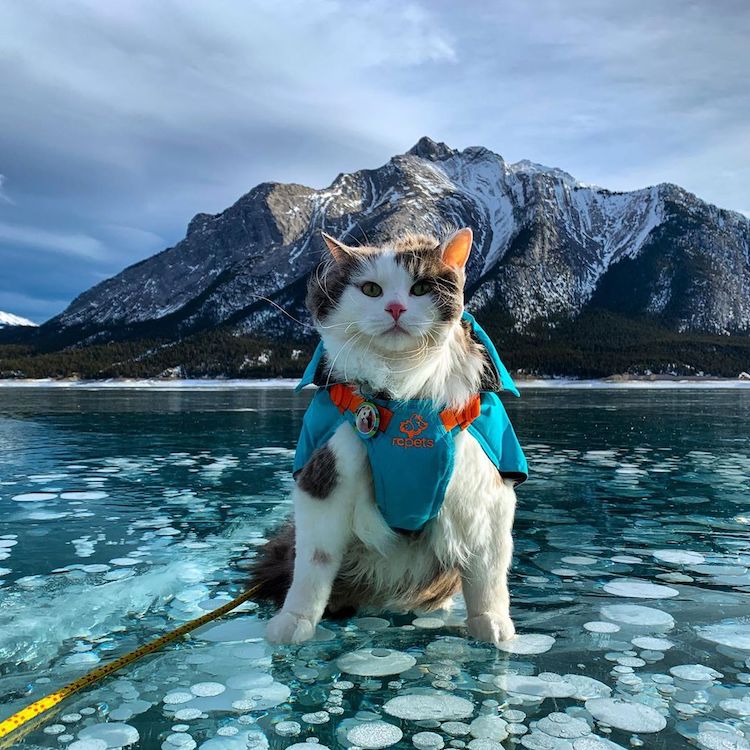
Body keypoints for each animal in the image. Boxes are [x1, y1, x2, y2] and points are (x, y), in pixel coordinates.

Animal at [250, 228, 524, 648]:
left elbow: (488, 568)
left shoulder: (485, 486)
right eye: (371, 289)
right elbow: (313, 563)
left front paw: (492, 624)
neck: (402, 383)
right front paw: (294, 622)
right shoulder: (327, 474)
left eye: (422, 287)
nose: (395, 308)